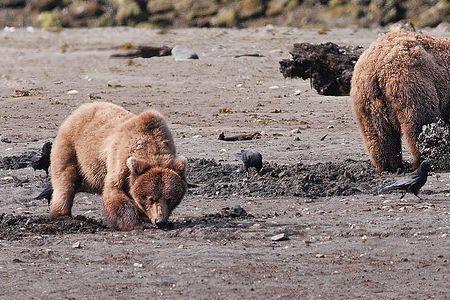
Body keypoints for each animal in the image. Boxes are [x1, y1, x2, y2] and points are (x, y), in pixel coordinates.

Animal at [50, 102, 187, 231]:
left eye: (169, 198)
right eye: (151, 198)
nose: (160, 221)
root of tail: (82, 108)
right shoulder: (120, 161)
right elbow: (114, 193)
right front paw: (136, 223)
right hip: (72, 148)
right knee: (65, 180)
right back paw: (62, 214)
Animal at [352, 30, 450, 172]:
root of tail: (376, 67)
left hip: (366, 100)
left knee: (379, 136)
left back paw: (390, 165)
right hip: (413, 84)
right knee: (419, 124)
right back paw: (423, 160)